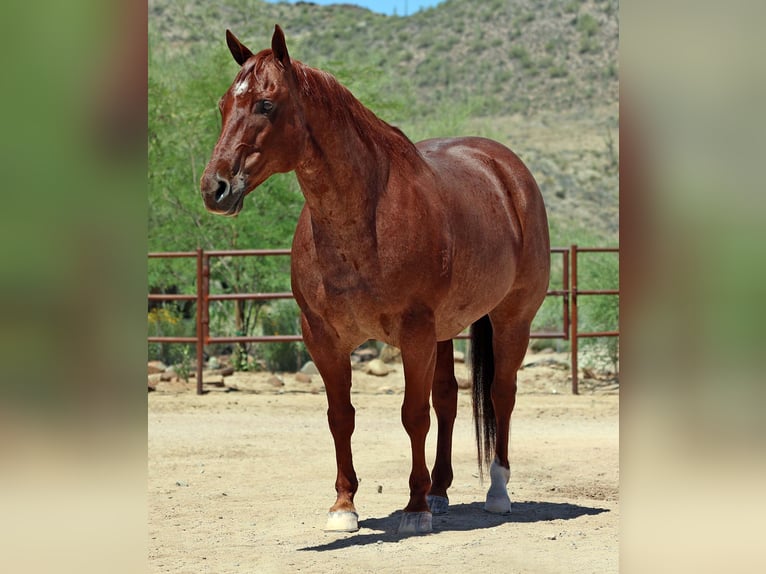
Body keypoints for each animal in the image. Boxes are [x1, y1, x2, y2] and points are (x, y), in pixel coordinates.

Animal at [200, 26, 550, 535]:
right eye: (225, 103)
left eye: (266, 104)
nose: (215, 188)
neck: (364, 217)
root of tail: (508, 172)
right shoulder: (322, 337)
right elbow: (341, 417)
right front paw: (344, 506)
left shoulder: (414, 333)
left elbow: (413, 416)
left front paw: (415, 509)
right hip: (446, 330)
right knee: (448, 398)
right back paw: (441, 491)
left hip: (511, 320)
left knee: (500, 396)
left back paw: (496, 493)